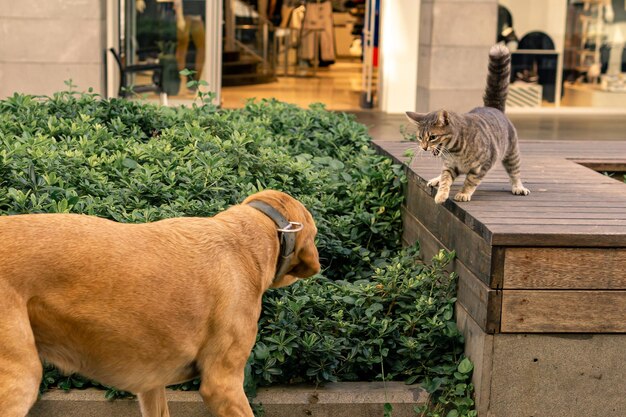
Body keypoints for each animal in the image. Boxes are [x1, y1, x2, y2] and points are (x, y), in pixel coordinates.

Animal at [404, 44, 528, 203]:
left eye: (432, 137)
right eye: (420, 137)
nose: (424, 147)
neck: (454, 151)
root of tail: (492, 107)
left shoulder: (482, 165)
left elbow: (470, 180)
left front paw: (463, 193)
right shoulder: (450, 166)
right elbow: (445, 179)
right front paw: (441, 193)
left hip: (512, 155)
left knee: (515, 172)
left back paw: (518, 186)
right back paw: (436, 179)